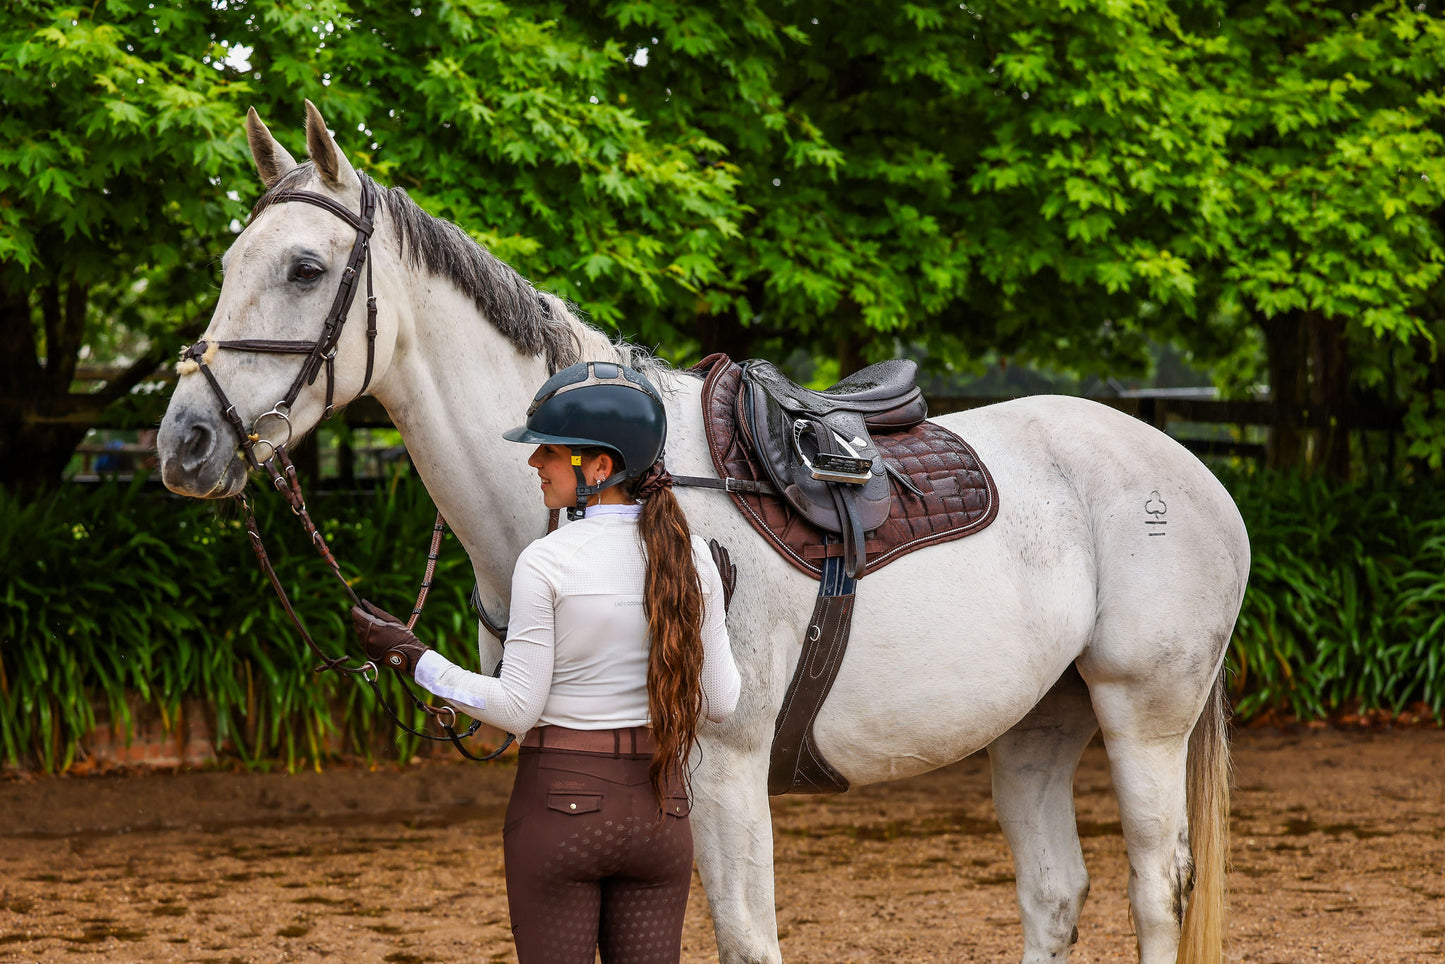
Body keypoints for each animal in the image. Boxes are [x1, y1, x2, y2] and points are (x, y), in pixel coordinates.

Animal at [155, 101, 1242, 959]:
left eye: (304, 267)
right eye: (229, 262)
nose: (186, 439)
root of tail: (1189, 472)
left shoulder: (724, 766)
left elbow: (743, 938)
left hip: (1141, 716)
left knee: (1156, 890)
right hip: (1032, 729)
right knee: (1054, 895)